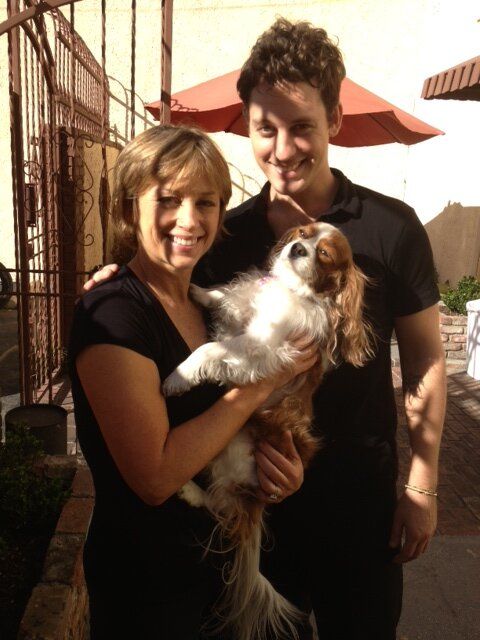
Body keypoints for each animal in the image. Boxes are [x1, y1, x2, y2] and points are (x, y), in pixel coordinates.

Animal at [163, 221, 374, 640]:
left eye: (324, 253)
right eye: (303, 233)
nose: (297, 249)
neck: (290, 290)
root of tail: (257, 500)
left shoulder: (262, 347)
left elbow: (210, 351)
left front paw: (178, 377)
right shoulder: (246, 315)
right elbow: (226, 297)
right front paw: (198, 290)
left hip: (234, 449)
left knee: (223, 505)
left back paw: (191, 491)